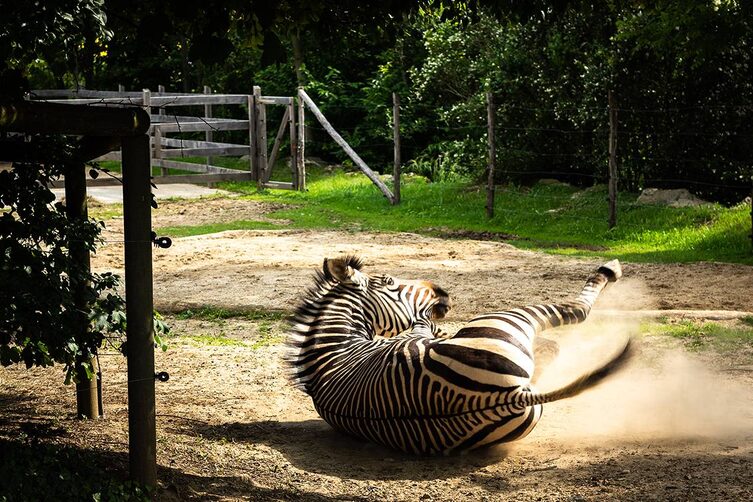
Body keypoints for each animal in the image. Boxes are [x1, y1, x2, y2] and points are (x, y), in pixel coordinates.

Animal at [287, 255, 632, 454]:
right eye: (389, 281)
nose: (443, 292)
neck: (333, 350)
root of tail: (508, 397)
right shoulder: (415, 332)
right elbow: (425, 324)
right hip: (505, 317)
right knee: (576, 311)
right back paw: (610, 269)